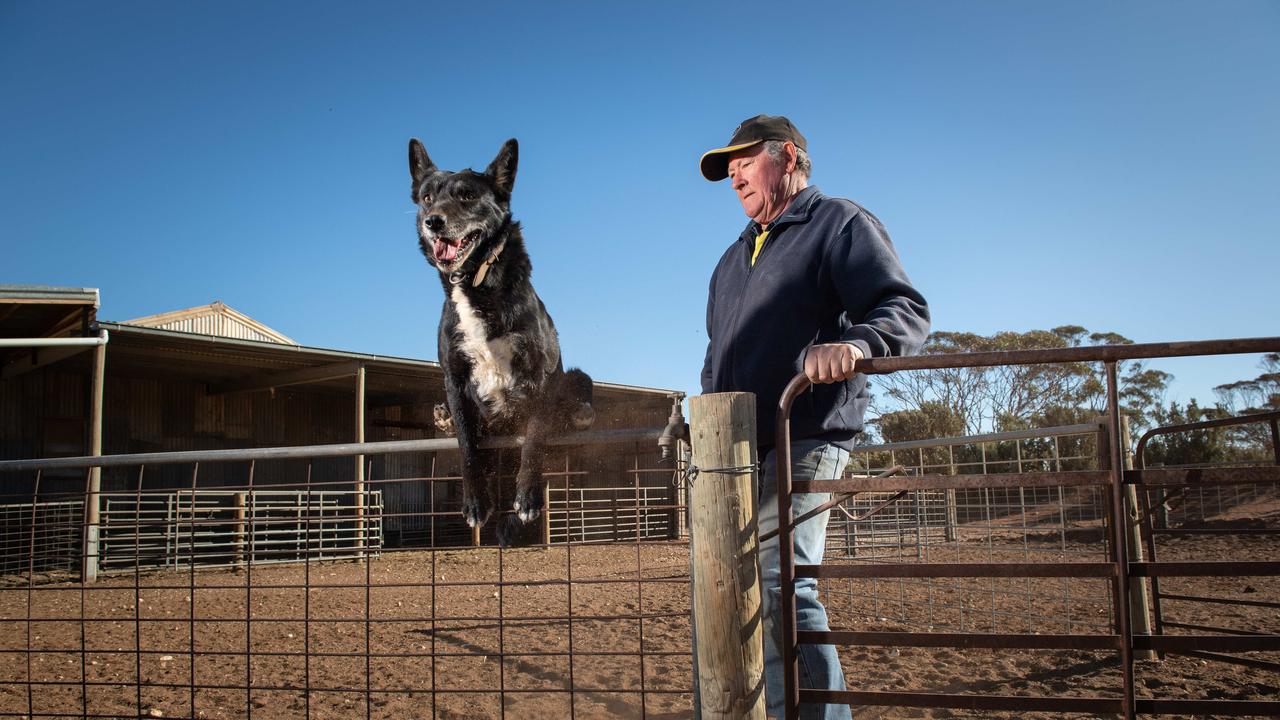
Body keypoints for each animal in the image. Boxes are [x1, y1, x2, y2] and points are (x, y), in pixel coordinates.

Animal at [409, 135, 593, 543]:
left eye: (466, 196)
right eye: (427, 198)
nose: (433, 222)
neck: (475, 282)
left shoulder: (541, 375)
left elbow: (535, 436)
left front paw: (527, 497)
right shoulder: (455, 378)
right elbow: (467, 445)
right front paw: (476, 502)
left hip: (571, 375)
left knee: (579, 391)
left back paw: (581, 412)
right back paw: (443, 418)